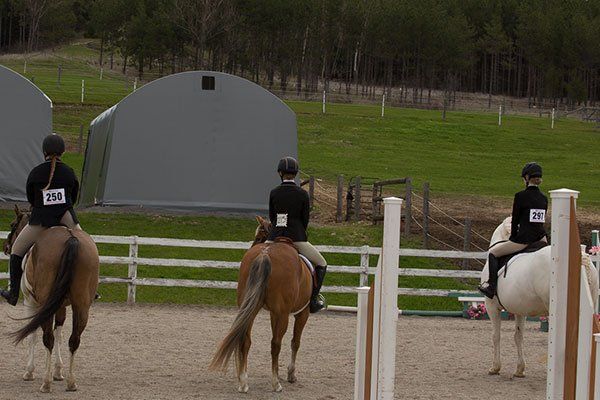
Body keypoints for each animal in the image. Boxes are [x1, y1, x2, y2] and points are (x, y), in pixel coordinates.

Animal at [4, 205, 99, 392]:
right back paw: (71, 382)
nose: (6, 246)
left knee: (47, 338)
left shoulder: (30, 302)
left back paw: (46, 383)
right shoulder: (61, 306)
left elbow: (33, 334)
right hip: (81, 306)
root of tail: (71, 239)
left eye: (12, 224)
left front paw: (30, 372)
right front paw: (58, 371)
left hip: (43, 303)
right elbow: (60, 334)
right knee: (74, 340)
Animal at [210, 216, 312, 394]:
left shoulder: (273, 313)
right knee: (275, 344)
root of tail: (264, 254)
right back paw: (275, 383)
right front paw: (291, 374)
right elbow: (295, 342)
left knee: (245, 340)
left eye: (258, 237)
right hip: (283, 314)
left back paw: (243, 382)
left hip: (251, 308)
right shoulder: (302, 312)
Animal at [482, 217, 600, 376]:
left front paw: (495, 367)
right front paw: (519, 369)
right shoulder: (520, 310)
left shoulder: (491, 306)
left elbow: (496, 336)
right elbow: (518, 336)